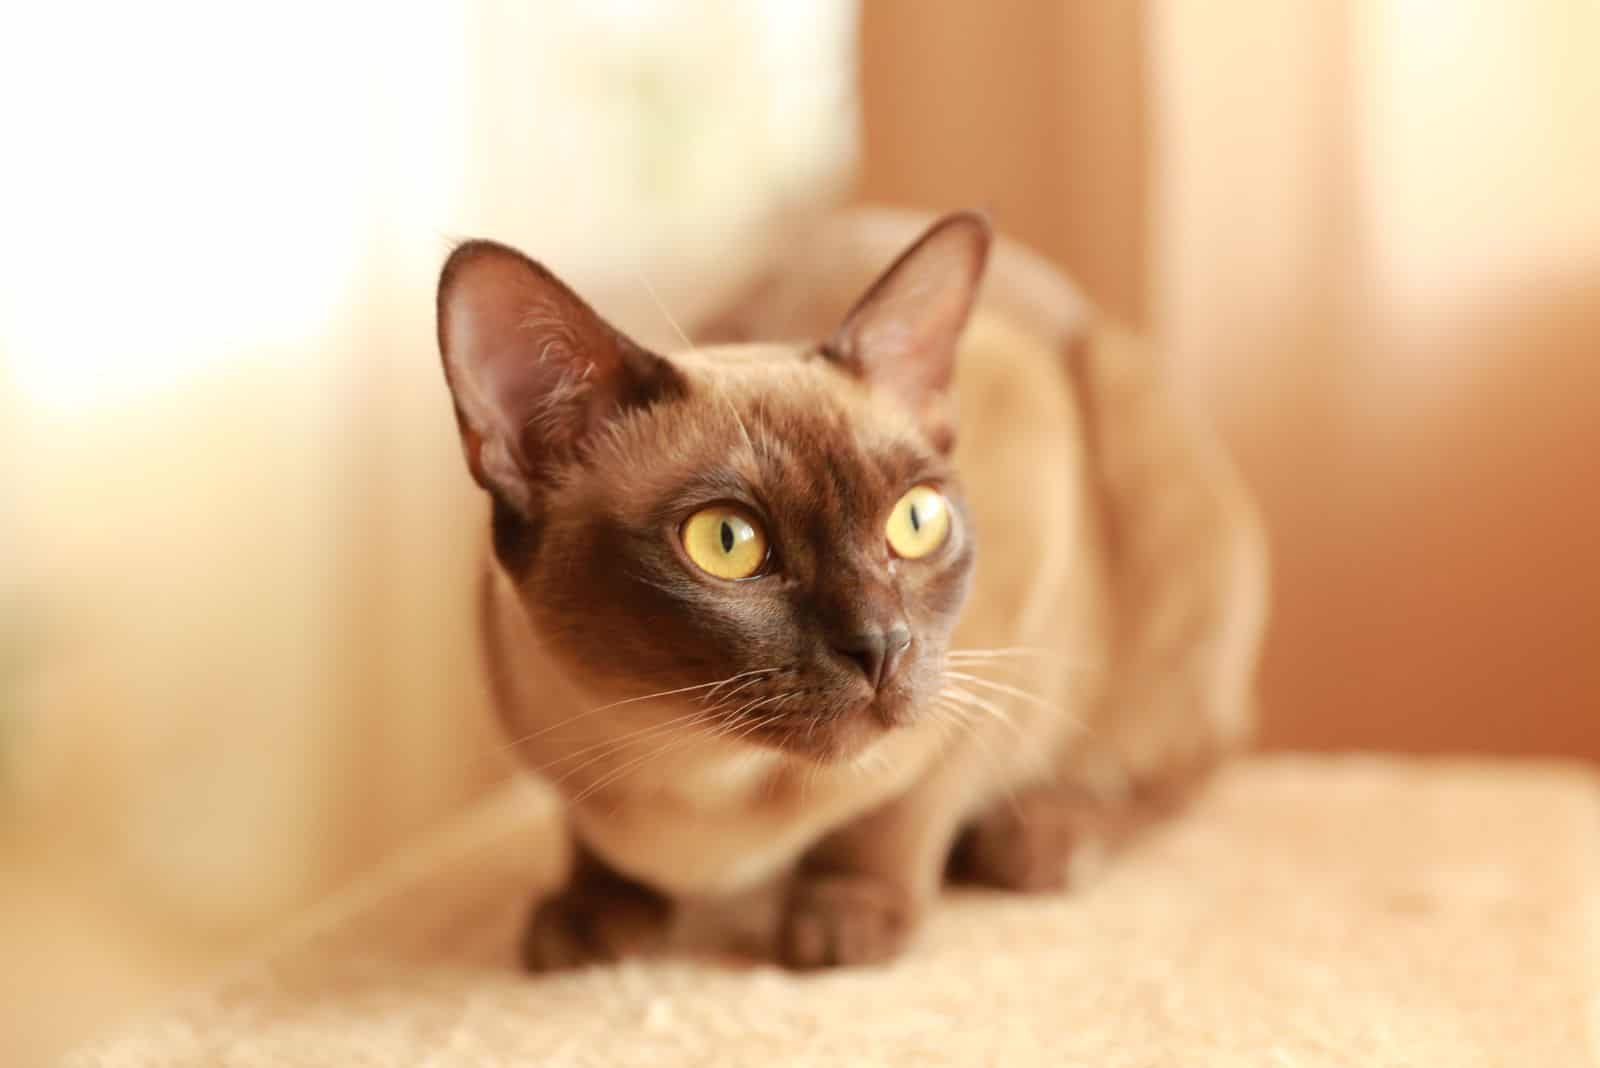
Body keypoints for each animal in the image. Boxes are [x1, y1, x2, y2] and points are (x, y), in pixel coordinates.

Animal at [435, 206, 1260, 965]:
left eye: (916, 522)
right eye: (726, 542)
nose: (882, 646)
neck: (693, 765)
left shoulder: (989, 658)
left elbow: (897, 810)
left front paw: (844, 919)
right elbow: (589, 839)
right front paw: (590, 914)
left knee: (1189, 759)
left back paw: (1042, 838)